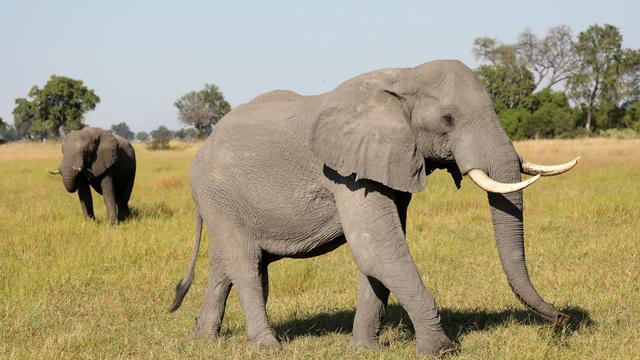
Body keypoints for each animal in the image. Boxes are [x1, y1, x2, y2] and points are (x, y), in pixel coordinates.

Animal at [170, 60, 580, 356]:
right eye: (448, 120)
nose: (563, 320)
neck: (405, 77)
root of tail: (202, 147)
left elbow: (380, 255)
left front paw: (364, 349)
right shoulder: (346, 173)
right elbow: (377, 249)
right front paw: (441, 350)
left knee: (230, 264)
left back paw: (201, 340)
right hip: (217, 193)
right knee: (245, 263)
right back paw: (268, 347)